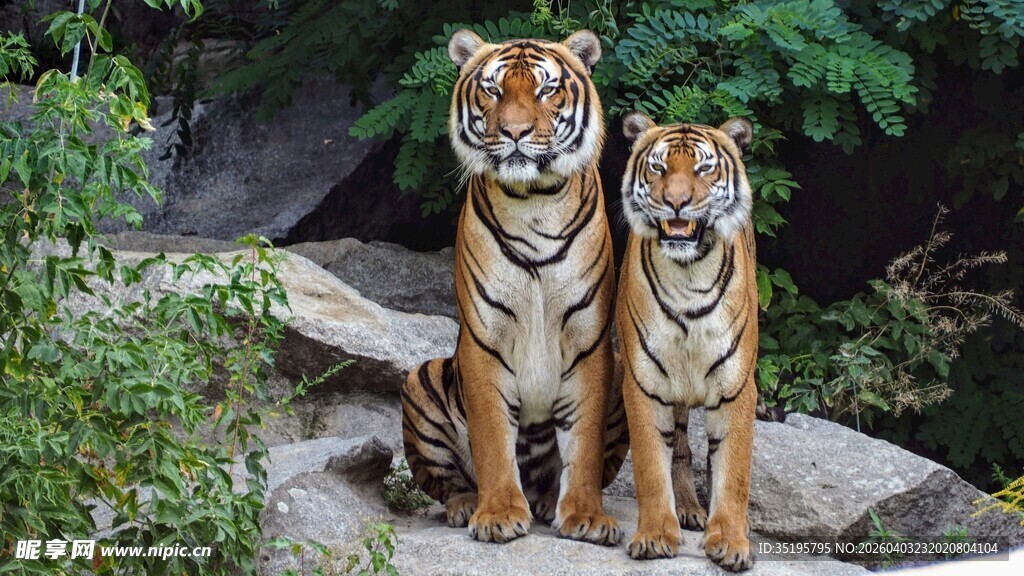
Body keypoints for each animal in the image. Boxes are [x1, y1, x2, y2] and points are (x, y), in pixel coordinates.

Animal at [400, 29, 628, 546]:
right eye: (493, 90)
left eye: (546, 90)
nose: (515, 132)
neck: (534, 201)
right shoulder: (484, 339)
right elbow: (491, 438)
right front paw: (499, 513)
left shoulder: (589, 342)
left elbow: (583, 445)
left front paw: (586, 515)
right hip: (420, 378)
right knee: (446, 482)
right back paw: (467, 505)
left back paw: (546, 501)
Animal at [615, 111, 758, 571]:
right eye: (659, 168)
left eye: (703, 168)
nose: (676, 202)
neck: (688, 275)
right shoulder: (643, 383)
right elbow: (649, 465)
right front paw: (655, 535)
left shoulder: (737, 388)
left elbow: (733, 471)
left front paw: (731, 541)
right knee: (679, 448)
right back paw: (689, 509)